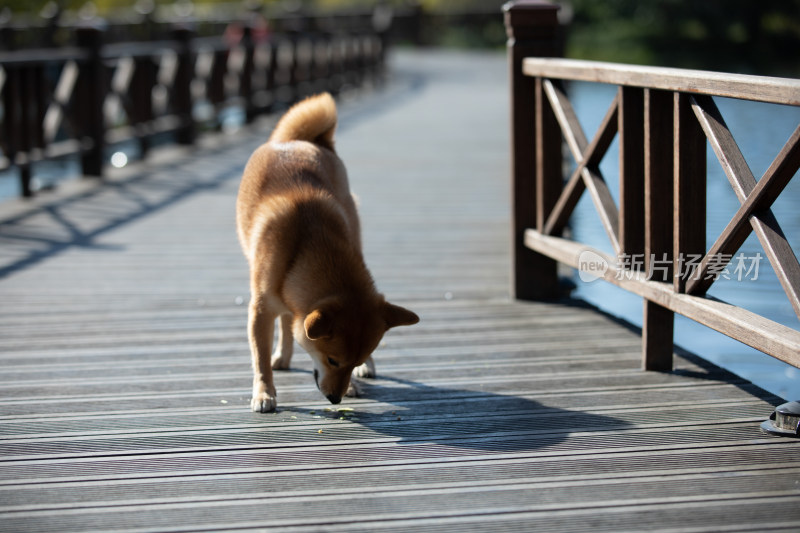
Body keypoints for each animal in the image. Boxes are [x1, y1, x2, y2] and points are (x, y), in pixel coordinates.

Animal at [236, 92, 418, 412]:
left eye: (351, 362)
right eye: (332, 360)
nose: (335, 398)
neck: (307, 241)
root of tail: (301, 141)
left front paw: (356, 381)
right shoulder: (260, 310)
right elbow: (260, 358)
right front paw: (264, 393)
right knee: (285, 323)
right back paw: (282, 358)